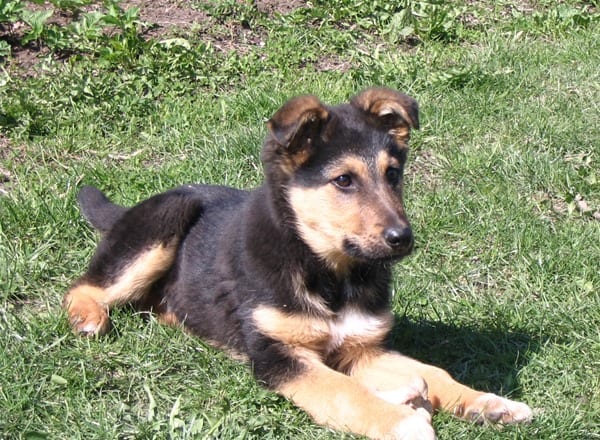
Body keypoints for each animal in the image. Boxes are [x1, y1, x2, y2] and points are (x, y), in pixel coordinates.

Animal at [65, 87, 532, 438]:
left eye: (393, 174)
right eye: (343, 180)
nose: (403, 239)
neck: (327, 271)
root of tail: (130, 210)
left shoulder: (363, 347)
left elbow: (432, 372)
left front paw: (488, 402)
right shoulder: (279, 354)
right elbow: (345, 391)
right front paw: (402, 422)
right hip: (166, 220)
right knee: (84, 285)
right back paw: (88, 318)